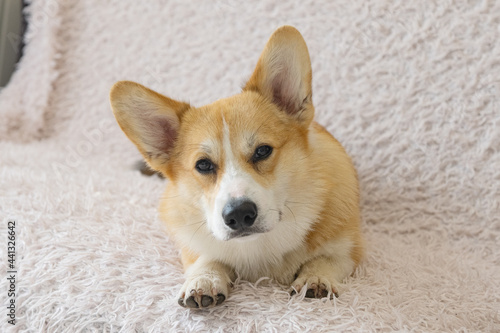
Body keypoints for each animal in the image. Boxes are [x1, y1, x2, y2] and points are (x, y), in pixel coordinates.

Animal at [110, 26, 364, 308]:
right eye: (203, 165)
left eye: (262, 151)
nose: (239, 214)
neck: (260, 247)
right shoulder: (193, 245)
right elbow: (208, 258)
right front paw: (204, 280)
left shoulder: (348, 250)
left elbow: (325, 260)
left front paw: (316, 278)